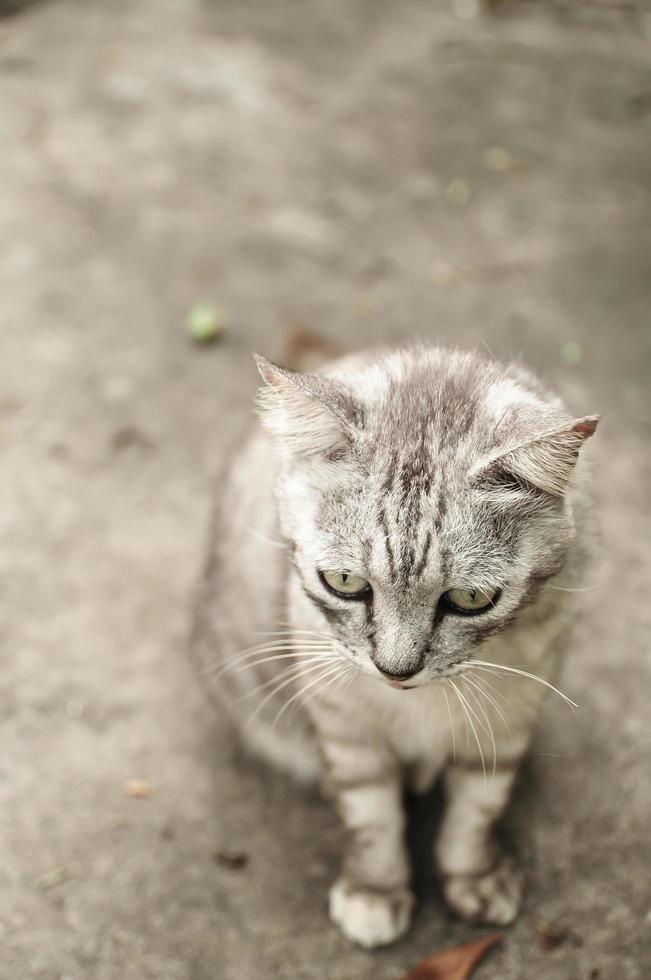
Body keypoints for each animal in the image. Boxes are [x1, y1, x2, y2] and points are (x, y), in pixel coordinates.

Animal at [197, 346, 596, 948]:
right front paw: (376, 891)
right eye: (344, 582)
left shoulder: (506, 720)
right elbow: (371, 816)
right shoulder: (345, 726)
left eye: (471, 598)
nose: (395, 668)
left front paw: (474, 876)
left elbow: (477, 807)